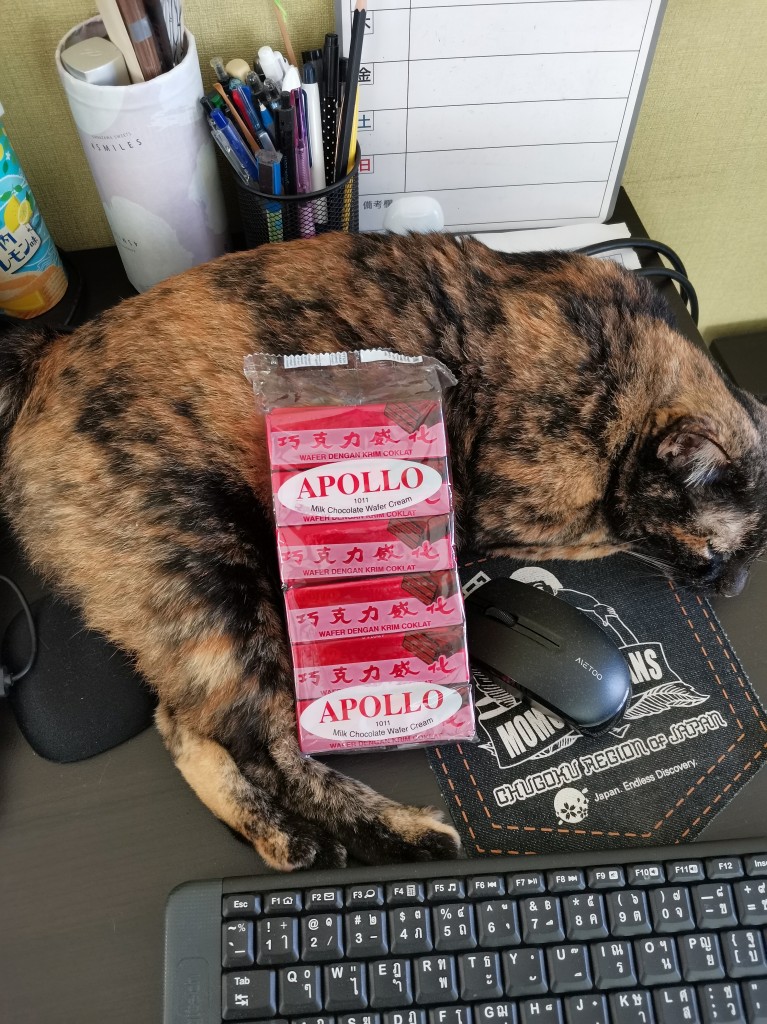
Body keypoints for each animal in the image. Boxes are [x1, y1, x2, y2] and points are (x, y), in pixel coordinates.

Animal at [1, 232, 766, 870]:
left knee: (186, 726)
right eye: (713, 555)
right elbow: (606, 529)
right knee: (268, 744)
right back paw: (405, 836)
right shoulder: (519, 513)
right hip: (215, 574)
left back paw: (284, 842)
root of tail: (45, 357)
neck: (628, 358)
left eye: (752, 557)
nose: (733, 590)